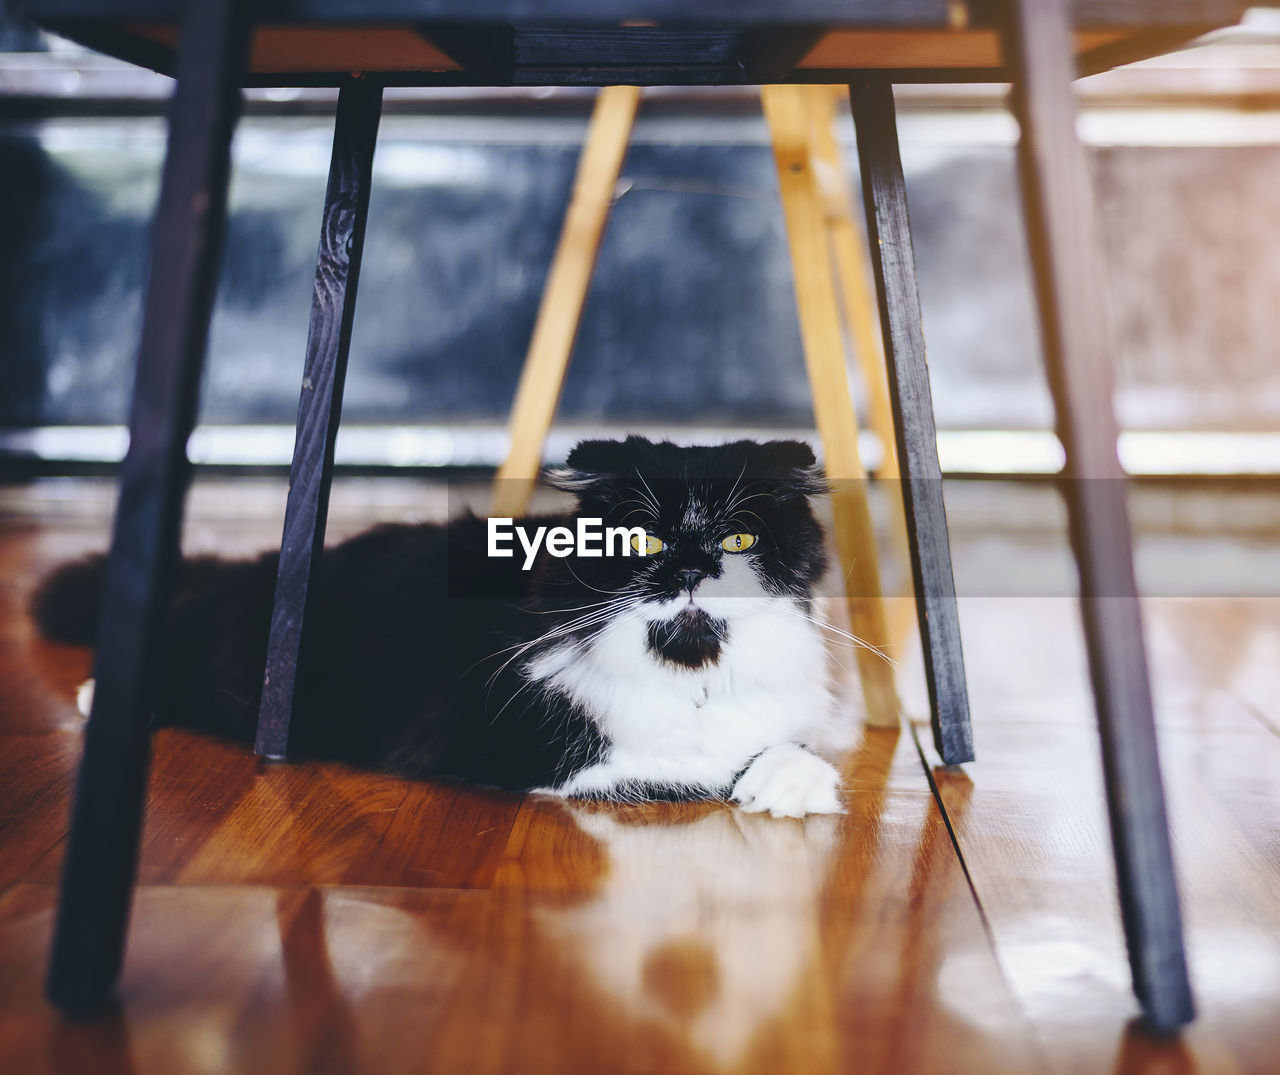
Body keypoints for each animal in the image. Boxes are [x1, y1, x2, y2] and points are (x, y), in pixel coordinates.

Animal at [32, 437, 849, 813]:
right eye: (642, 541)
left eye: (738, 539)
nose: (688, 571)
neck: (693, 678)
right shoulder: (509, 743)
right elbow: (675, 769)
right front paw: (757, 778)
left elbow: (783, 745)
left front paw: (793, 780)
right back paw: (103, 697)